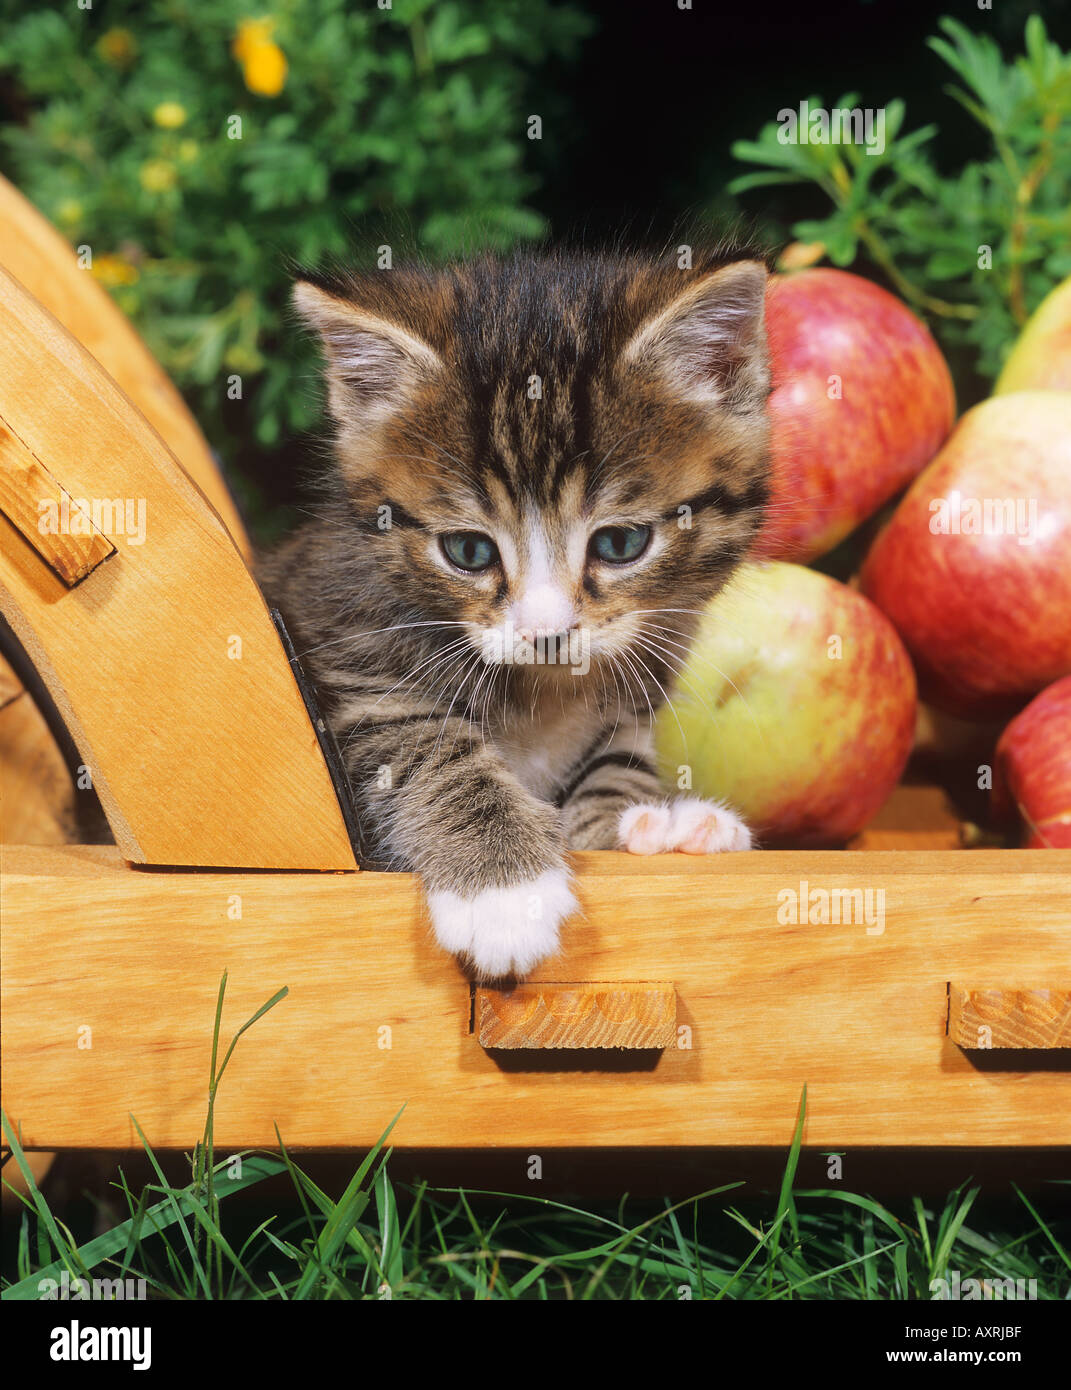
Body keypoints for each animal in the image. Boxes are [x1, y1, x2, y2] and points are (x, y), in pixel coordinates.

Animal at [263, 244, 772, 984]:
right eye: (469, 551)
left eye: (621, 544)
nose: (545, 633)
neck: (546, 691)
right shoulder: (347, 664)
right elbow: (427, 745)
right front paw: (503, 888)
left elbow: (616, 759)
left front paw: (647, 826)